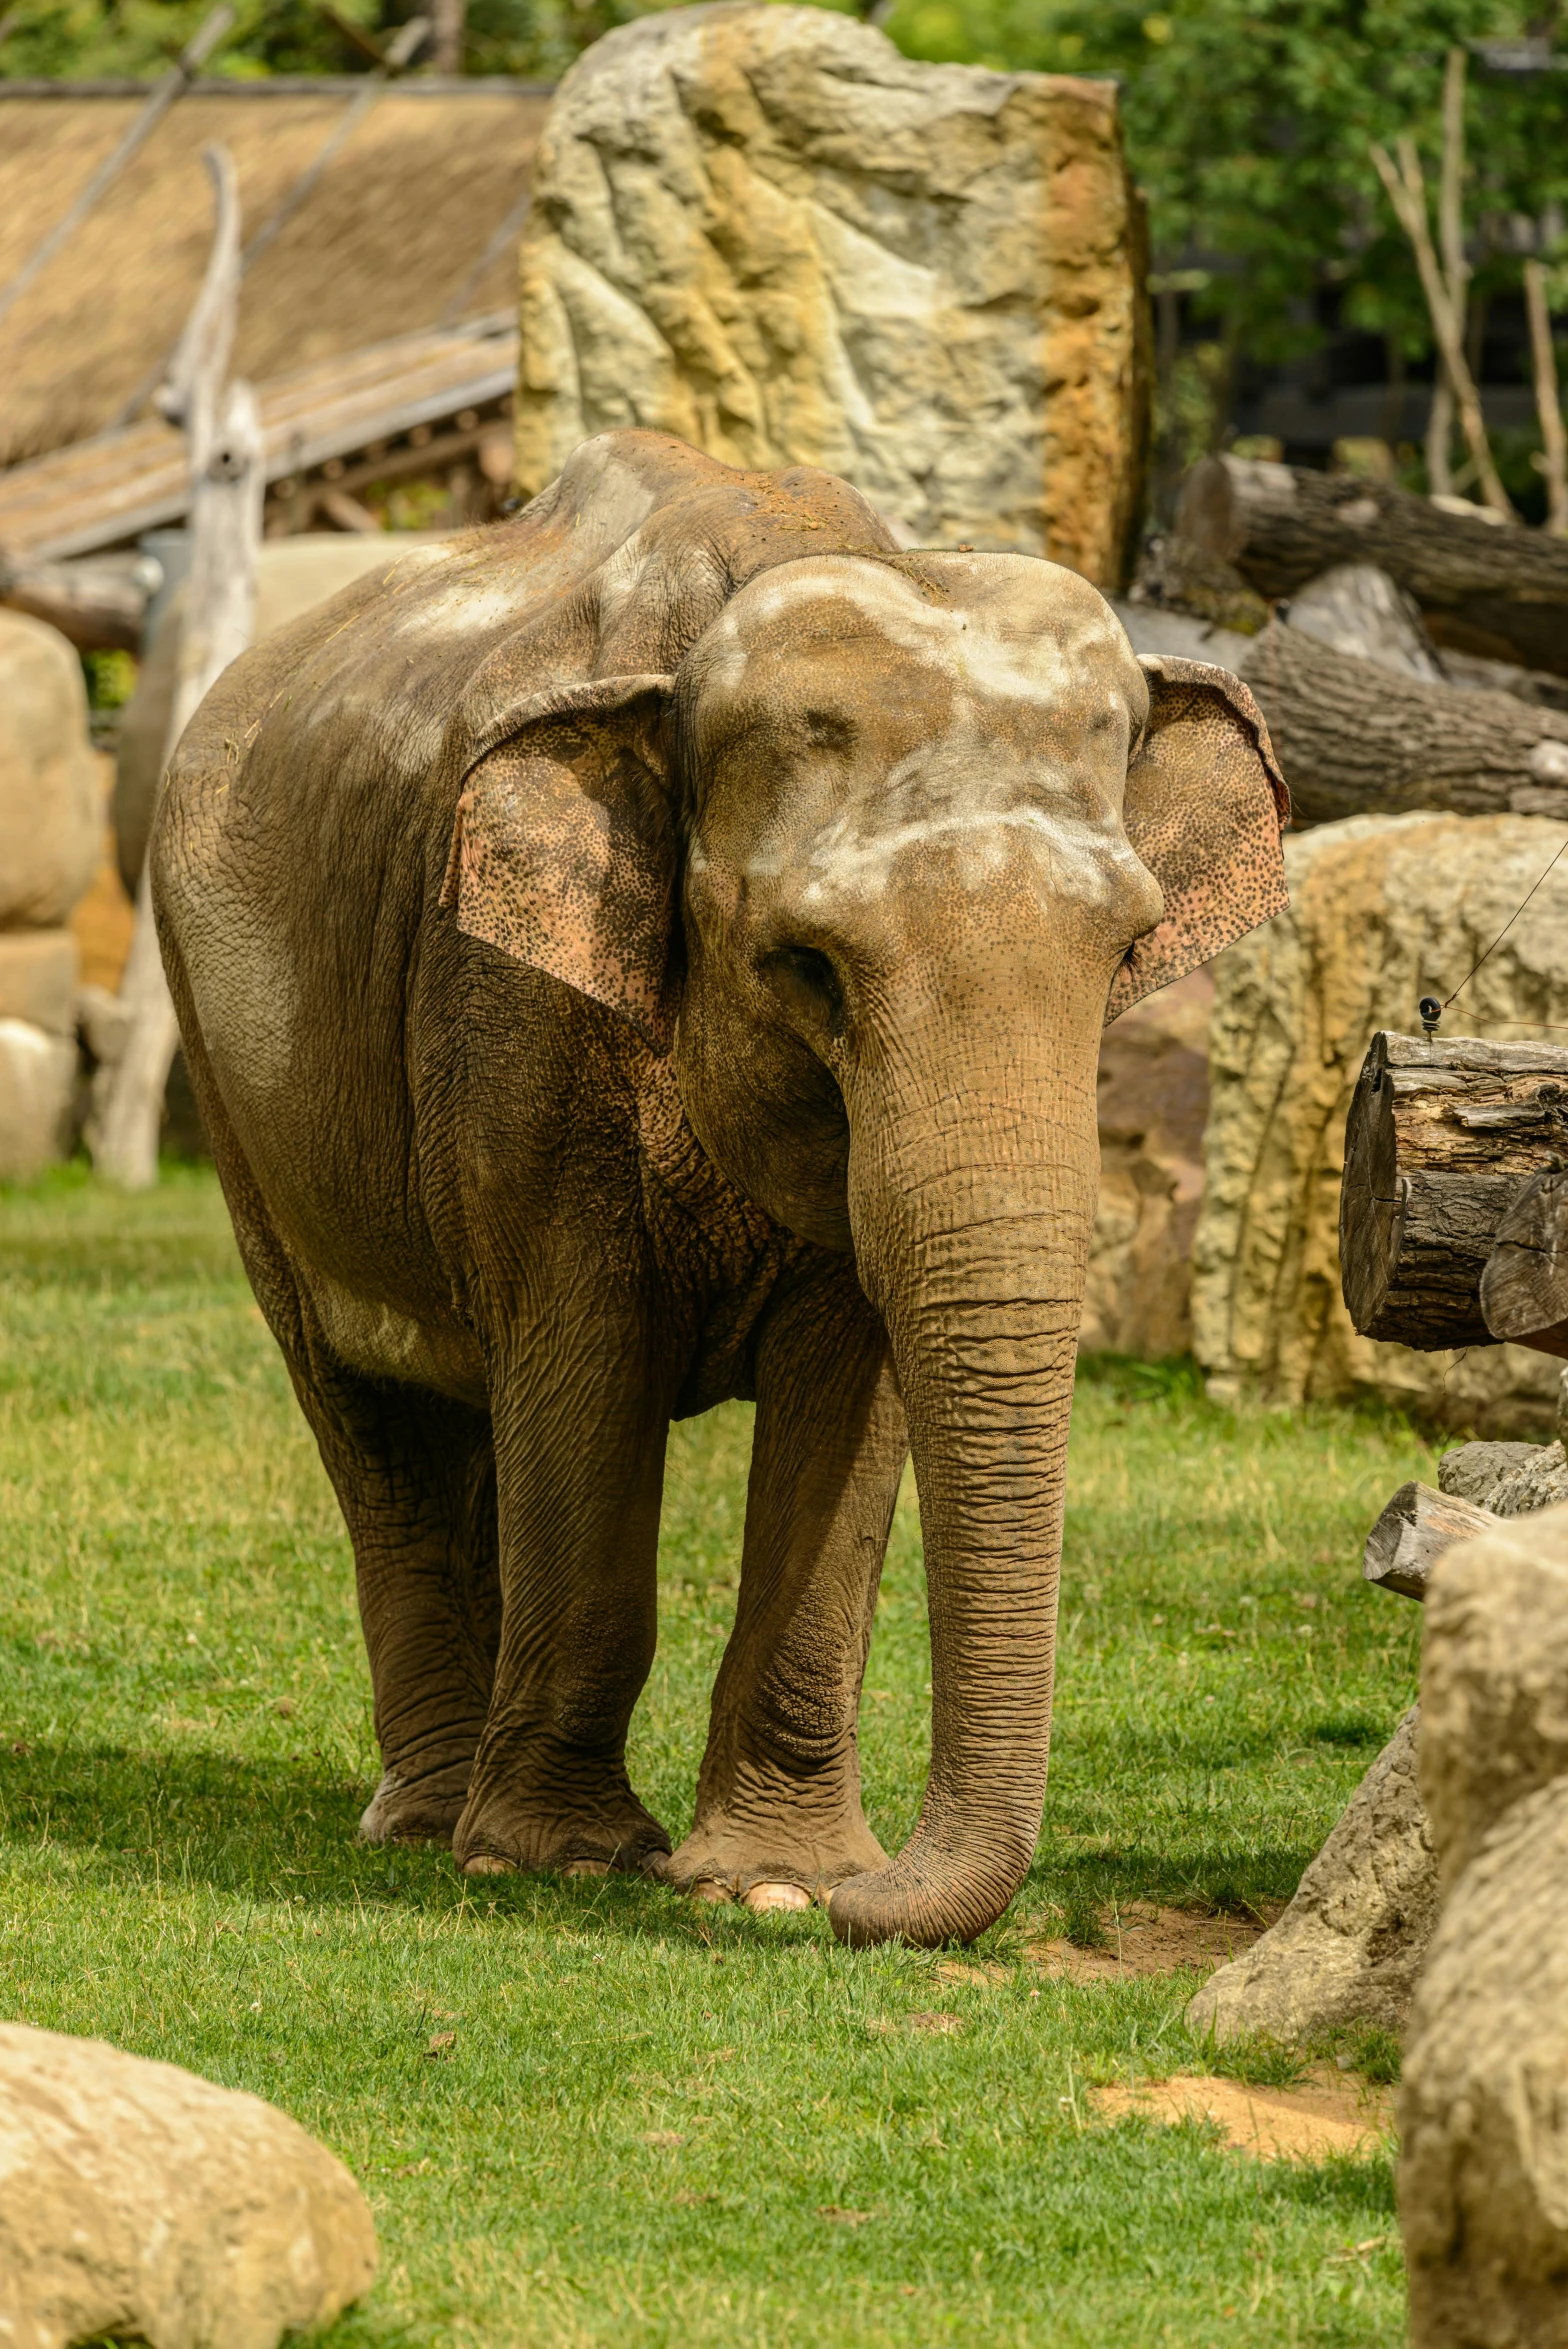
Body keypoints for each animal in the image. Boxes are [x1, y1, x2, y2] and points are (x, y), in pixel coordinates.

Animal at [152, 432, 1295, 1954]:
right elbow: (585, 1360)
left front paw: (773, 1880)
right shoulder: (504, 1010)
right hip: (231, 1080)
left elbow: (846, 1393)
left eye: (1128, 949)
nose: (873, 1906)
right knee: (371, 1420)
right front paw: (562, 1865)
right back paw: (432, 1822)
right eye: (806, 967)